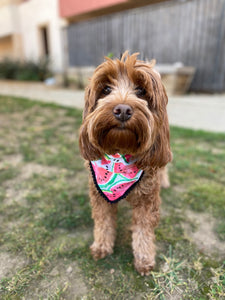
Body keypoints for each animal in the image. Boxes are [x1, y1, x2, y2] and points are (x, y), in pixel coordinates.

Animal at [79, 51, 172, 274]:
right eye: (105, 89)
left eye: (141, 90)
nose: (122, 109)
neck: (120, 152)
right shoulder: (99, 196)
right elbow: (103, 222)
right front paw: (101, 246)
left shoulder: (147, 200)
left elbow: (143, 230)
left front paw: (144, 259)